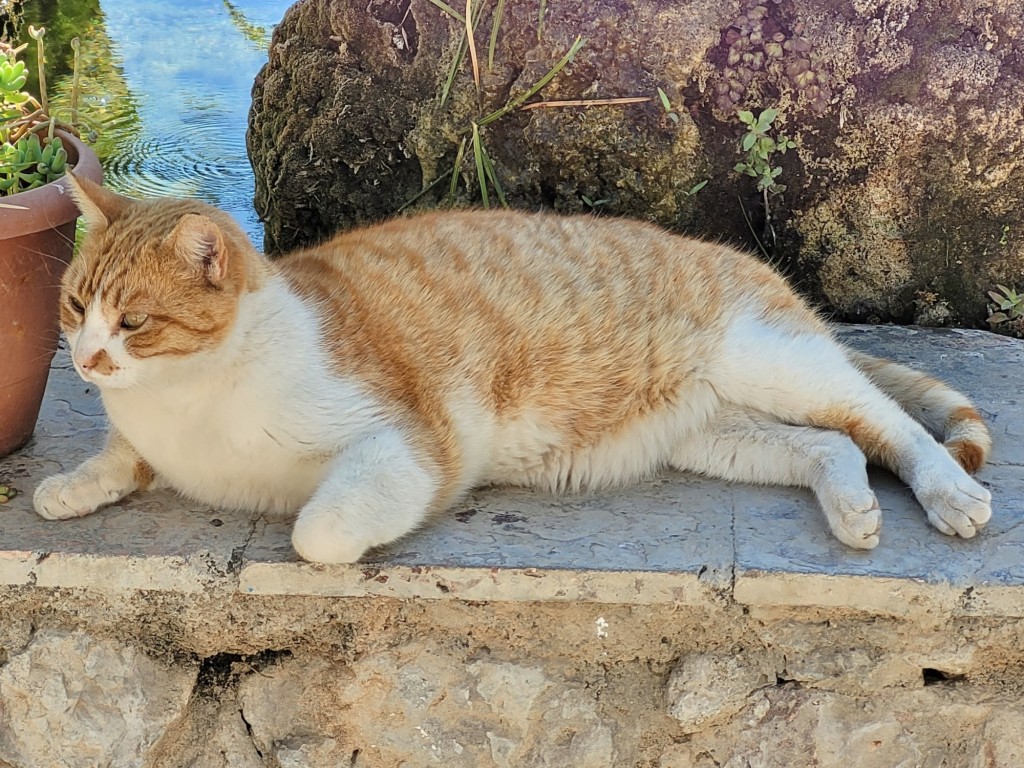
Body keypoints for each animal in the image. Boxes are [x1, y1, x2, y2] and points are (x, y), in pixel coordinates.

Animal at [34, 174, 991, 565]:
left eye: (133, 321)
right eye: (75, 306)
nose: (85, 359)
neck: (187, 400)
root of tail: (742, 262)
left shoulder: (413, 445)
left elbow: (317, 532)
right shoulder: (145, 437)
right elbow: (121, 458)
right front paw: (73, 485)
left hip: (774, 360)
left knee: (887, 424)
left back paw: (950, 493)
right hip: (715, 434)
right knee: (832, 446)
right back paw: (853, 507)